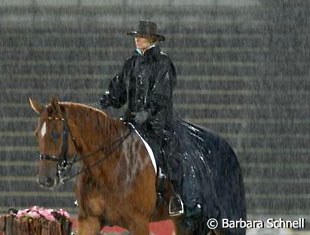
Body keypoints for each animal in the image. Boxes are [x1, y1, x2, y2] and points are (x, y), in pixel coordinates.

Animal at [30, 96, 246, 234]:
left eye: (55, 134)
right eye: (37, 133)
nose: (45, 179)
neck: (110, 166)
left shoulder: (138, 223)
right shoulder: (89, 221)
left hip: (226, 223)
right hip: (186, 223)